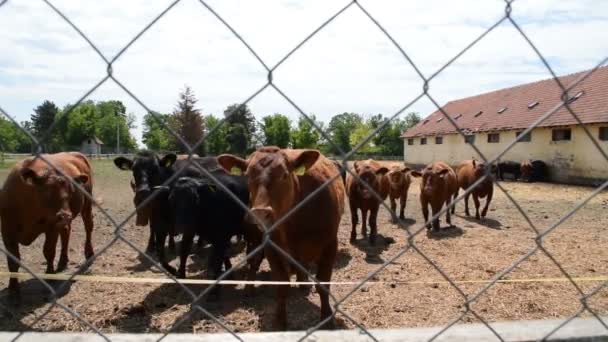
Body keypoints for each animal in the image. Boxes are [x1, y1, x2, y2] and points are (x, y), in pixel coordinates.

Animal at [0, 152, 94, 300]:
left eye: (71, 191)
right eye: (46, 191)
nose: (65, 215)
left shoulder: (51, 227)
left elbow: (49, 251)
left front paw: (50, 277)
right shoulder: (7, 231)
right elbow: (13, 261)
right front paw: (13, 289)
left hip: (87, 206)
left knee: (88, 226)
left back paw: (89, 253)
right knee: (66, 233)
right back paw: (62, 262)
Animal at [217, 147, 342, 332]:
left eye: (284, 175)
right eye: (247, 176)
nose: (260, 212)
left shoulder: (330, 244)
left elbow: (323, 284)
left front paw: (327, 319)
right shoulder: (271, 247)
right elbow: (281, 285)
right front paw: (279, 321)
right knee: (254, 260)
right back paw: (249, 288)